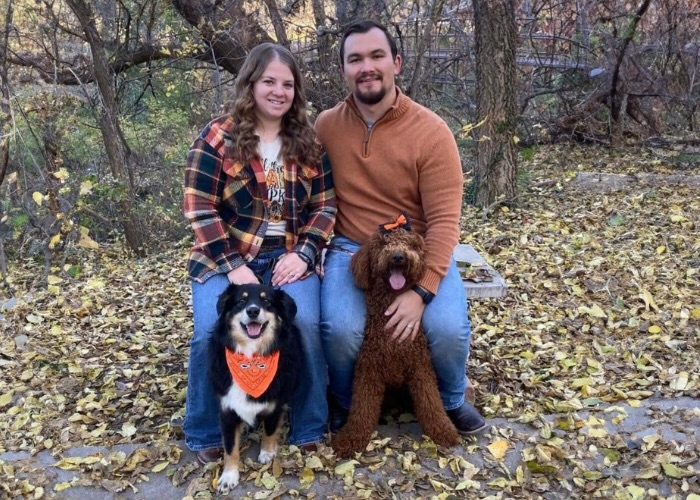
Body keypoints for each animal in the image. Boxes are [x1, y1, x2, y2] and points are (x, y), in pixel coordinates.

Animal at [211, 284, 304, 494]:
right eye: (241, 301)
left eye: (266, 301)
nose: (253, 311)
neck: (251, 357)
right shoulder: (227, 410)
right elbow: (230, 447)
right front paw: (228, 476)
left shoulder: (275, 404)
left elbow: (269, 430)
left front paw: (268, 453)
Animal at [332, 219, 462, 458]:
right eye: (383, 244)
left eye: (411, 244)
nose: (398, 257)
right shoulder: (368, 372)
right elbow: (361, 410)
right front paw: (351, 439)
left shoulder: (420, 369)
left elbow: (431, 403)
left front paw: (443, 430)